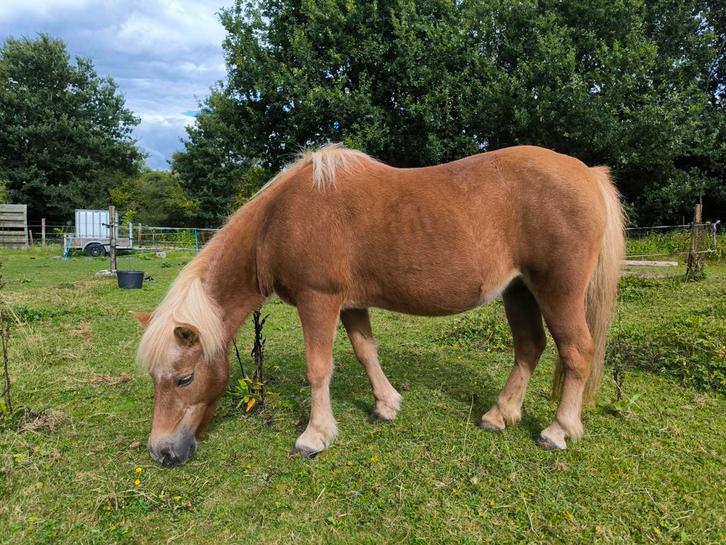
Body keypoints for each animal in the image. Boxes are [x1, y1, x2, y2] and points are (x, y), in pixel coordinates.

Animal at [133, 143, 625, 466]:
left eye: (184, 378)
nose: (162, 452)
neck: (281, 219)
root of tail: (587, 172)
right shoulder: (351, 304)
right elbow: (366, 351)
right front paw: (386, 406)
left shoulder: (318, 300)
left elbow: (318, 367)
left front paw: (315, 435)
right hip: (519, 291)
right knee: (529, 347)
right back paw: (499, 415)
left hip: (558, 291)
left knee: (575, 350)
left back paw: (558, 430)